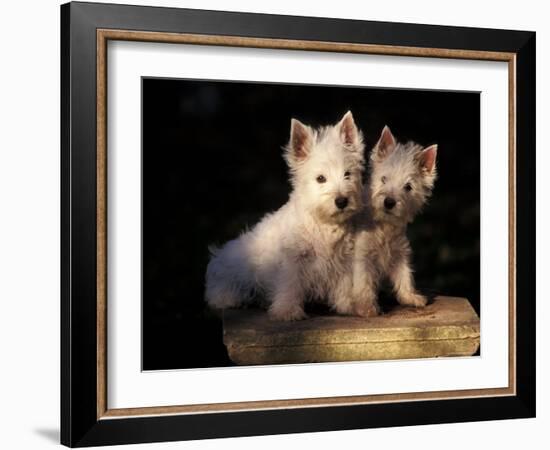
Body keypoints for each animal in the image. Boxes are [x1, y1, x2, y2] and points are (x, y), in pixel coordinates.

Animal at [206, 111, 366, 320]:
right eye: (320, 178)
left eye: (348, 174)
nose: (341, 201)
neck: (323, 223)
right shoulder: (293, 260)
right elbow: (290, 285)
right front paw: (287, 311)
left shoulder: (343, 259)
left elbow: (345, 284)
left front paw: (349, 305)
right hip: (232, 269)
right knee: (219, 290)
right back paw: (230, 298)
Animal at [350, 125, 440, 318]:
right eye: (384, 179)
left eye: (408, 187)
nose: (389, 202)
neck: (385, 226)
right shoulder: (363, 255)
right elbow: (363, 281)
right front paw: (367, 307)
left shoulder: (399, 252)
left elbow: (405, 275)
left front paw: (411, 297)